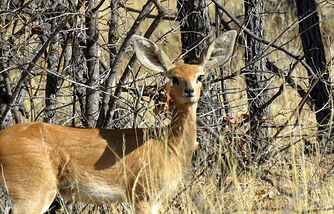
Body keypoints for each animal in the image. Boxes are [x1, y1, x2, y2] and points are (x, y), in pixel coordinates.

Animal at [0, 30, 236, 214]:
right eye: (174, 77)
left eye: (200, 76)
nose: (190, 91)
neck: (168, 145)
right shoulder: (142, 196)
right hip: (32, 193)